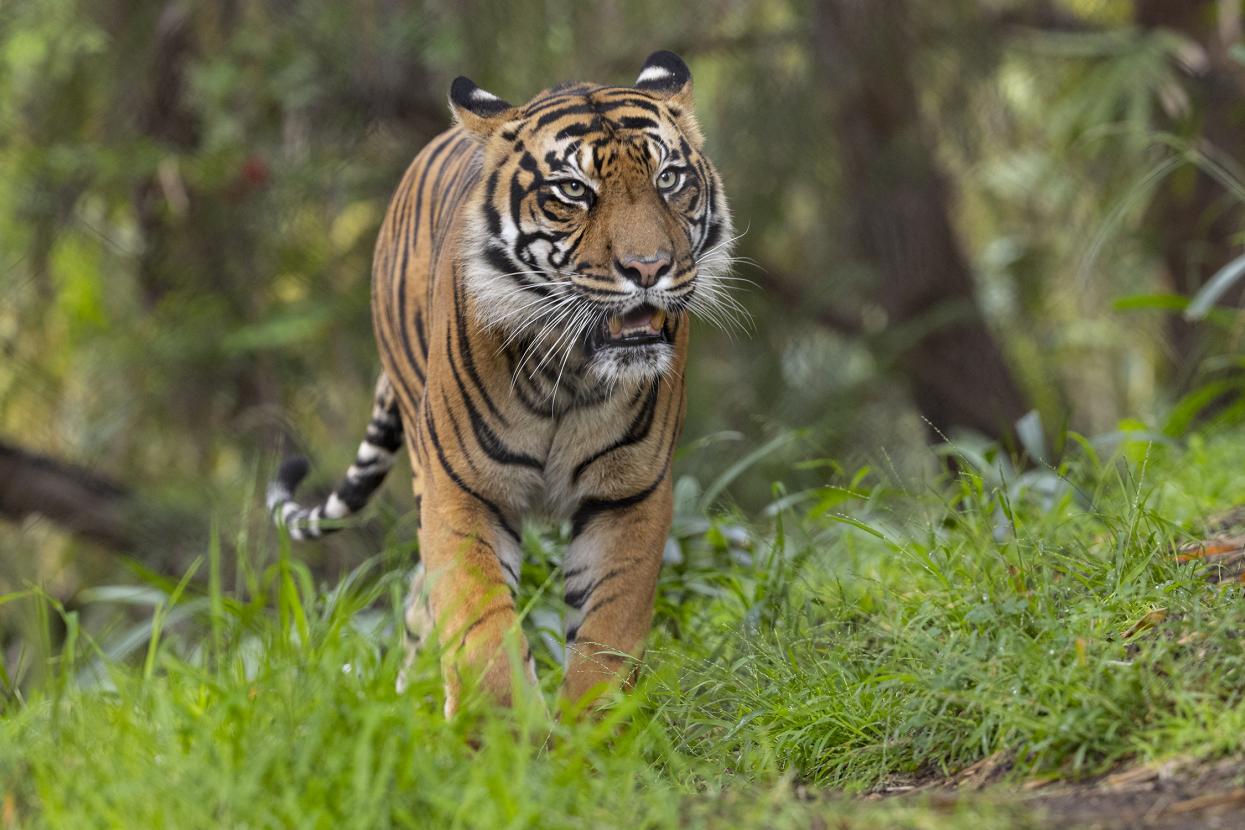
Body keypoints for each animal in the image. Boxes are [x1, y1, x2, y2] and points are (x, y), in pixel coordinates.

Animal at [267, 51, 735, 716]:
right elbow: (479, 627)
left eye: (669, 178)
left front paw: (593, 729)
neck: (570, 374)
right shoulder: (461, 488)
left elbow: (608, 631)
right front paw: (499, 728)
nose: (649, 268)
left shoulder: (630, 492)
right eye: (573, 190)